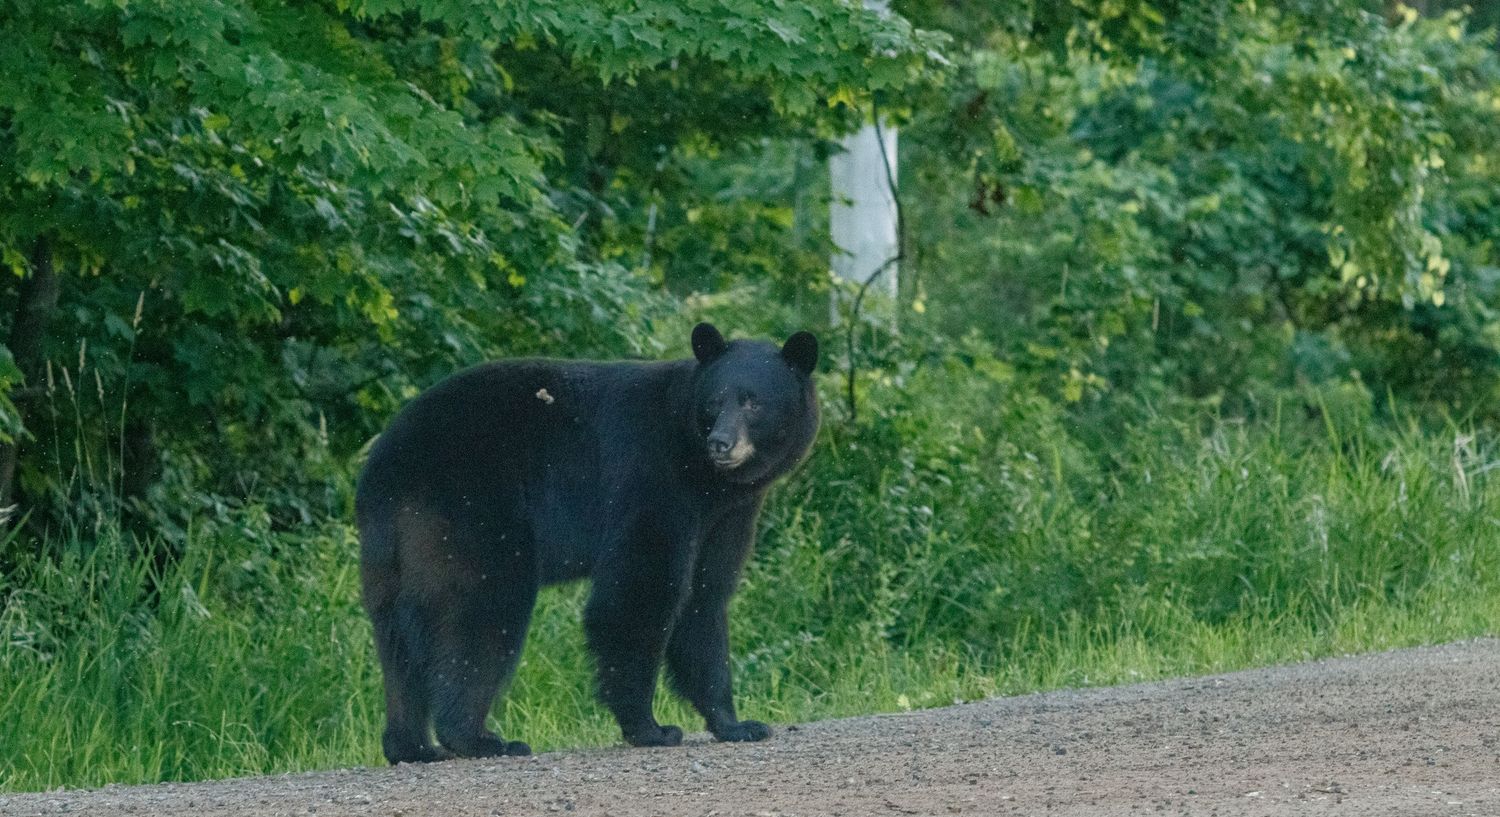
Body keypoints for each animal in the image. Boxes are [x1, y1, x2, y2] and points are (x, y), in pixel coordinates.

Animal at [356, 322, 819, 764]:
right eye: (714, 401)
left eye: (753, 402)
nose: (721, 443)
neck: (703, 476)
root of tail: (388, 466)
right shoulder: (653, 485)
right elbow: (639, 593)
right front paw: (651, 728)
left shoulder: (725, 517)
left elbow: (705, 599)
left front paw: (737, 724)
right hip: (472, 511)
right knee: (482, 610)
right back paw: (479, 738)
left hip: (387, 550)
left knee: (396, 638)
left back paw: (412, 746)